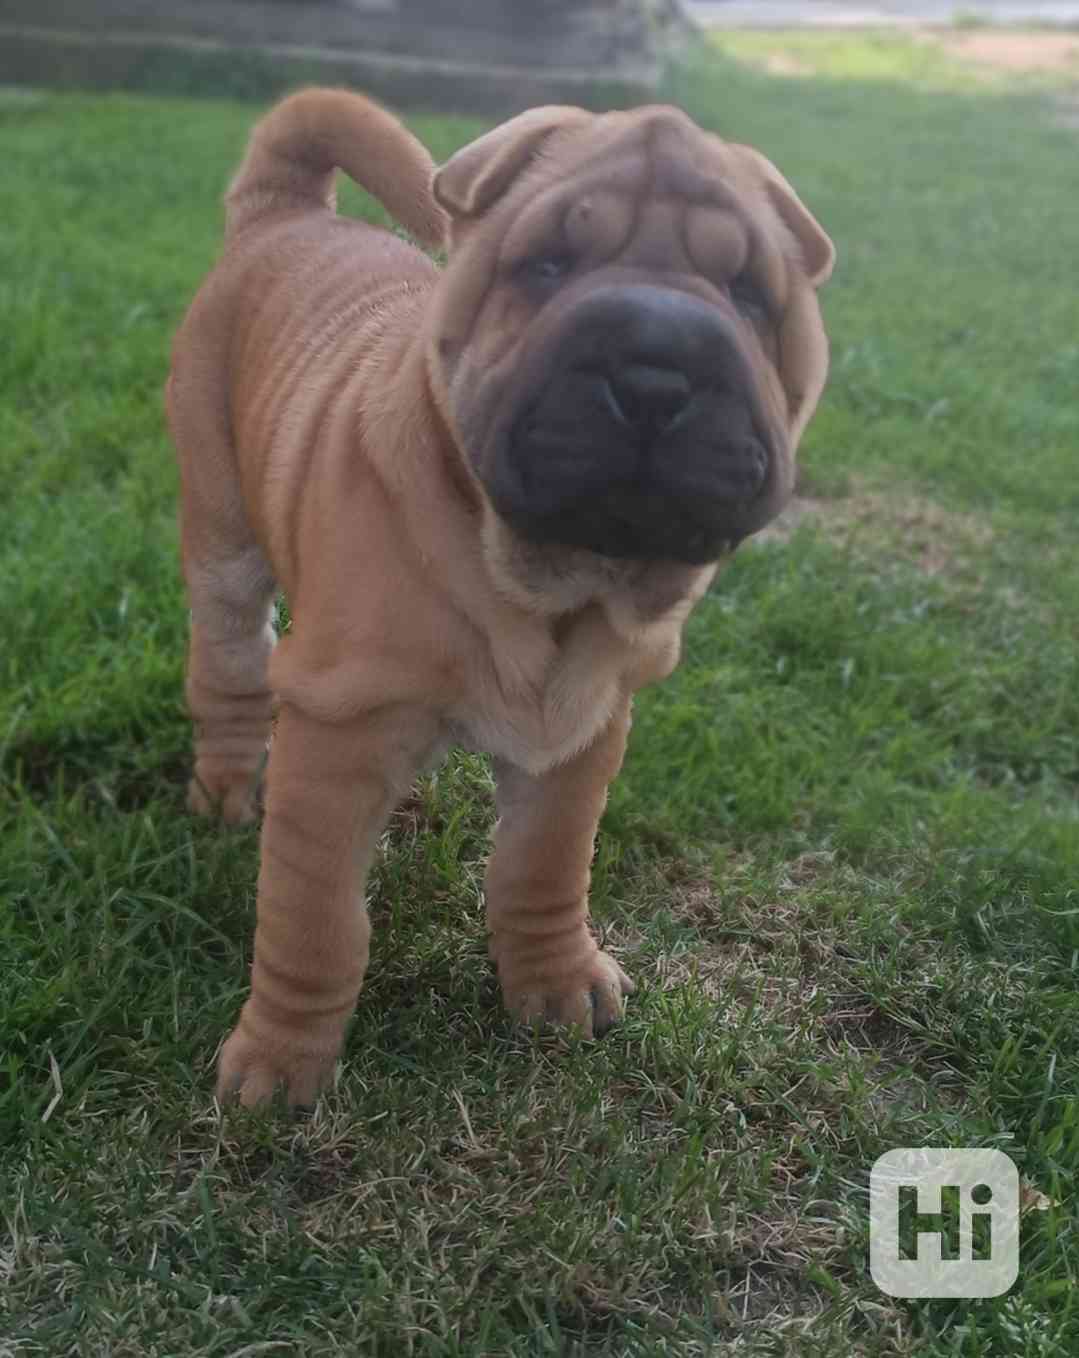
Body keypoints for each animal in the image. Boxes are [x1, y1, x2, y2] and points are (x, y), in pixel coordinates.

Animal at [168, 84, 836, 1108]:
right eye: (548, 263)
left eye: (750, 294)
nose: (656, 363)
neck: (545, 586)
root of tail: (284, 219)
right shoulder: (338, 729)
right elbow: (315, 920)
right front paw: (279, 1066)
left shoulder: (583, 728)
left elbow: (543, 867)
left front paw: (557, 986)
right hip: (223, 540)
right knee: (231, 672)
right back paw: (229, 793)